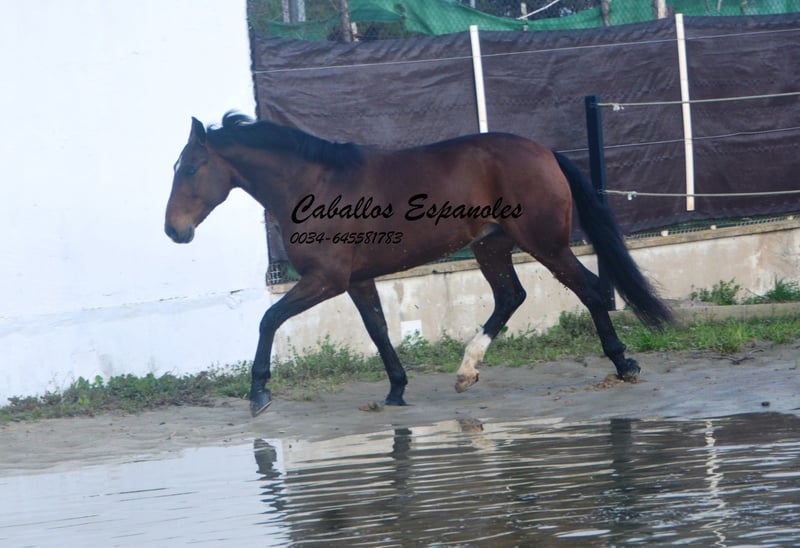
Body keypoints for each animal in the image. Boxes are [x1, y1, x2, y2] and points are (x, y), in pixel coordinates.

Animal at [165, 113, 672, 417]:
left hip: (546, 245)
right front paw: (396, 390)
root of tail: (545, 152)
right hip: (492, 248)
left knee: (590, 289)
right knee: (511, 296)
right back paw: (467, 371)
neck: (314, 185)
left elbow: (269, 318)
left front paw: (258, 393)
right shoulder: (356, 280)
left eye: (190, 167)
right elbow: (377, 330)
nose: (174, 231)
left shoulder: (326, 279)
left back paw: (624, 362)